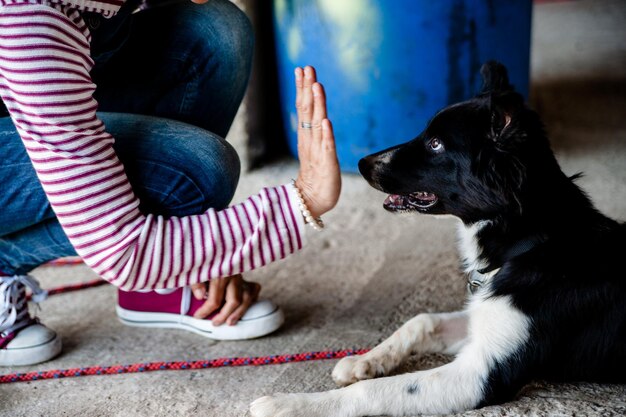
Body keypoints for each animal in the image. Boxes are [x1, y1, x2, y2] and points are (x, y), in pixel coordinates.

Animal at [250, 61, 624, 416]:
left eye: (435, 144)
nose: (361, 162)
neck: (530, 242)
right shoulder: (478, 323)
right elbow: (422, 321)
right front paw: (364, 361)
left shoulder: (481, 375)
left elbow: (373, 391)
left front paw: (289, 404)